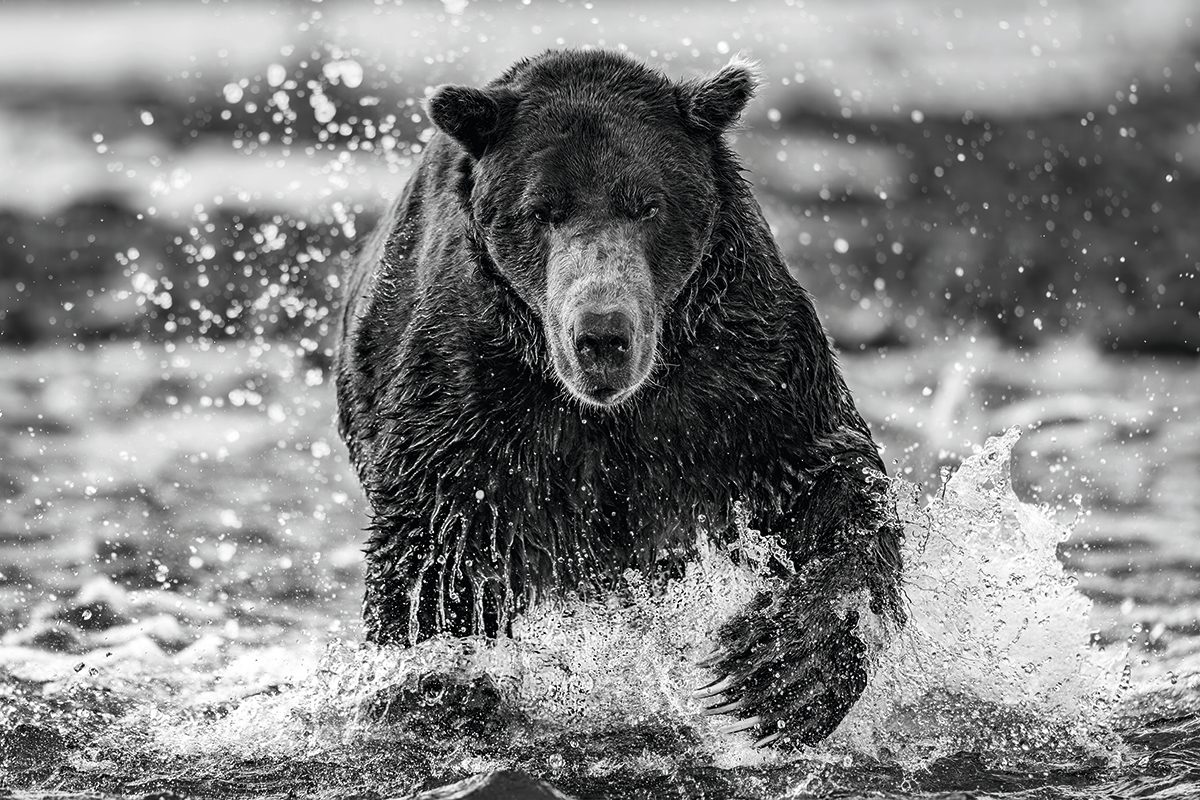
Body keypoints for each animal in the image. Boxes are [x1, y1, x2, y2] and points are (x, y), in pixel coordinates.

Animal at [334, 49, 904, 748]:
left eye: (647, 205)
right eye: (541, 210)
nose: (602, 334)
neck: (608, 412)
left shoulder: (742, 376)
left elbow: (829, 478)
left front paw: (778, 671)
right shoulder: (472, 399)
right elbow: (437, 552)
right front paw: (441, 688)